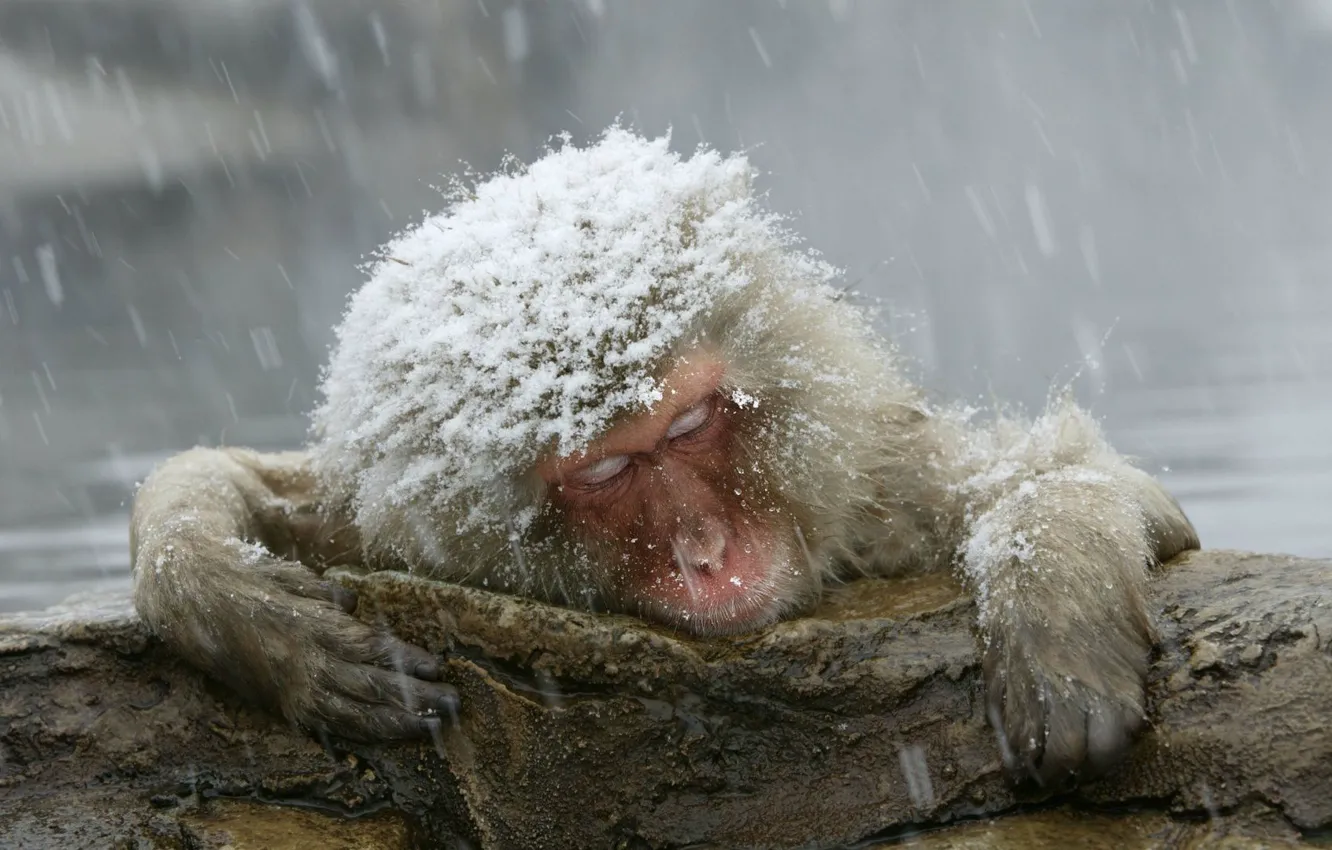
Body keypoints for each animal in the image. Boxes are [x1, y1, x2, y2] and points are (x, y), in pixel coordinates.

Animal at [129, 127, 1199, 787]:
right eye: (606, 472)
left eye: (687, 428)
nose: (705, 549)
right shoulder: (382, 526)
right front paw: (245, 611)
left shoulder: (880, 477)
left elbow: (1088, 487)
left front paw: (1057, 624)